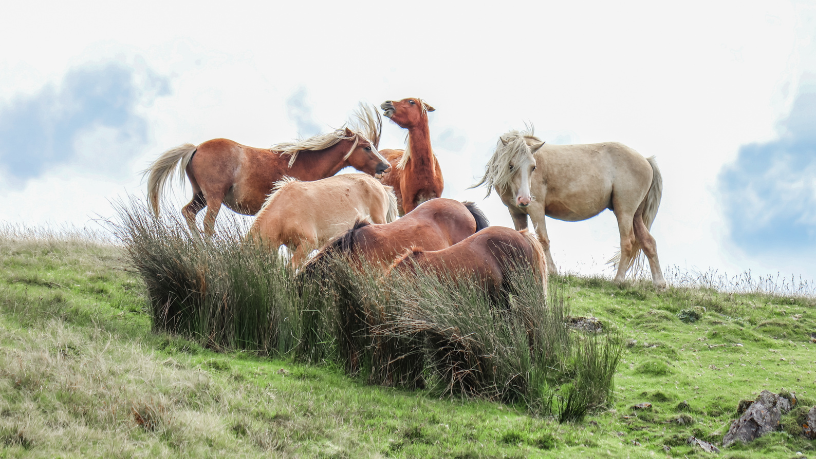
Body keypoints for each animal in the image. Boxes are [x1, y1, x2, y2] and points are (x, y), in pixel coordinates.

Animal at [145, 104, 389, 236]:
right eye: (367, 147)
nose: (385, 167)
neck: (304, 161)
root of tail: (195, 148)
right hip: (214, 196)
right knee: (207, 223)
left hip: (201, 196)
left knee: (188, 213)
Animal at [473, 129, 666, 288]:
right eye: (511, 165)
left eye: (533, 167)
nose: (524, 199)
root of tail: (646, 160)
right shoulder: (516, 212)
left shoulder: (536, 209)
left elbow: (543, 239)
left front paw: (552, 272)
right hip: (636, 216)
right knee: (648, 242)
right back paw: (660, 284)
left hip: (624, 212)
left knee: (627, 242)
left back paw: (618, 280)